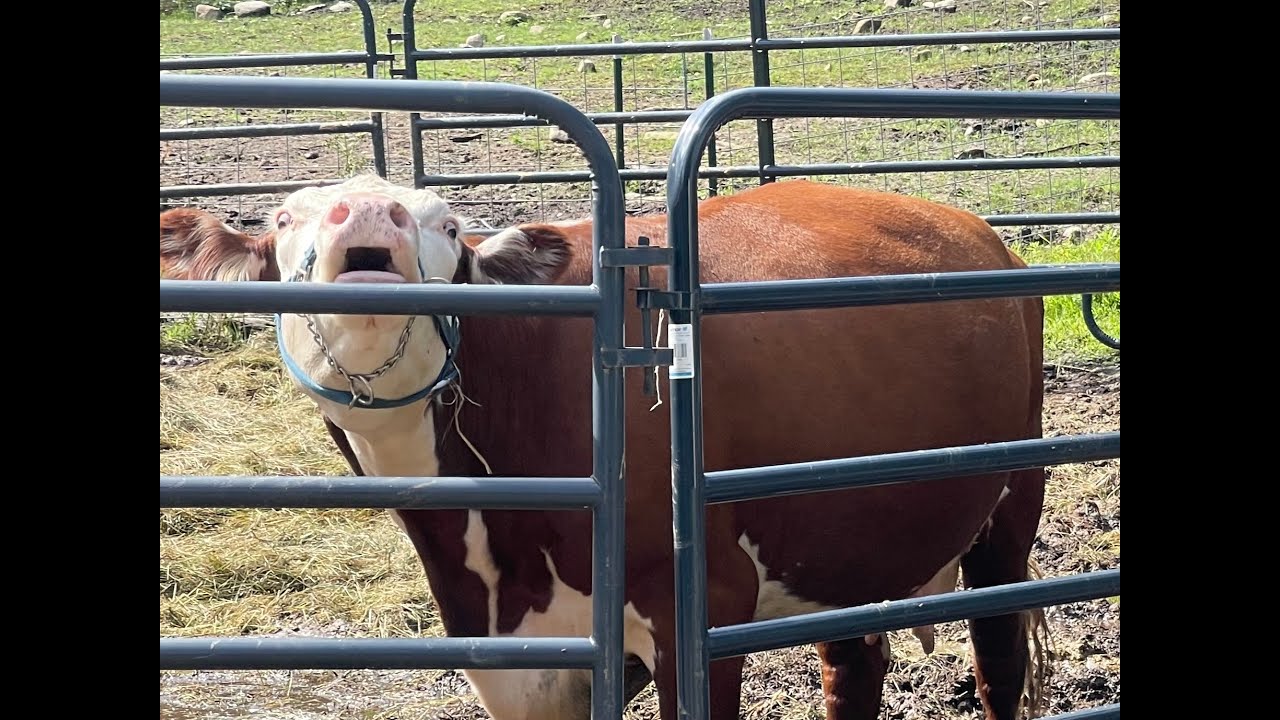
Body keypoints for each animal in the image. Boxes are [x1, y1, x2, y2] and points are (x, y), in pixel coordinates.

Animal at [160, 173, 1048, 720]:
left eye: (448, 222)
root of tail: (979, 231)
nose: (373, 217)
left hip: (1007, 522)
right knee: (854, 669)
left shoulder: (699, 608)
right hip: (845, 544)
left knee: (998, 665)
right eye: (284, 218)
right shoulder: (525, 661)